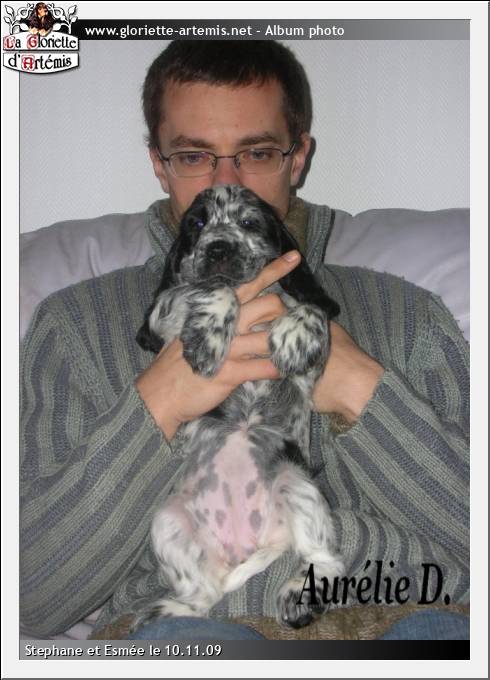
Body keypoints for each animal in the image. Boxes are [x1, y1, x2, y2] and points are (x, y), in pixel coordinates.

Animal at [134, 184, 344, 630]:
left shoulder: (314, 363)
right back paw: (168, 612)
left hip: (298, 485)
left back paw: (298, 594)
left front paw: (293, 335)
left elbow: (311, 308)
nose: (218, 248)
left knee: (324, 559)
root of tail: (246, 545)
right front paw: (209, 336)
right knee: (205, 594)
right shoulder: (160, 316)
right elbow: (211, 288)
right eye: (196, 223)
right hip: (168, 523)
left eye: (249, 222)